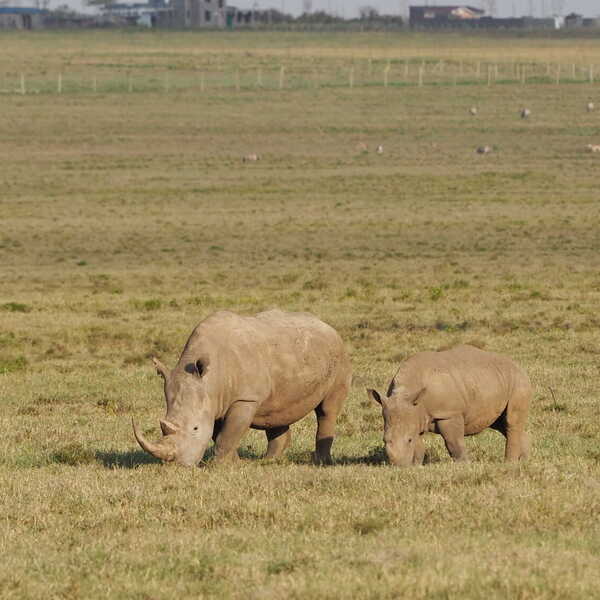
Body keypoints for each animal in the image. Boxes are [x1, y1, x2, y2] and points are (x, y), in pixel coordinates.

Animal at [132, 310, 352, 468]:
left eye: (195, 428)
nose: (176, 465)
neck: (210, 380)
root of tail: (328, 326)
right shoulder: (215, 401)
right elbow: (221, 434)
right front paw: (234, 463)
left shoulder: (245, 399)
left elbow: (227, 434)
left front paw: (218, 466)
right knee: (277, 410)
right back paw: (269, 461)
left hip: (339, 356)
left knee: (327, 410)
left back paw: (321, 462)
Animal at [368, 344, 532, 466]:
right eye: (384, 440)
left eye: (408, 440)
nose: (399, 466)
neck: (406, 391)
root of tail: (518, 366)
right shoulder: (416, 414)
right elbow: (419, 443)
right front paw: (416, 466)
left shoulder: (448, 413)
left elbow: (453, 442)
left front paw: (464, 465)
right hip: (496, 380)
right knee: (501, 423)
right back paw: (524, 461)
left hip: (518, 381)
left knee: (510, 421)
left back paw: (510, 463)